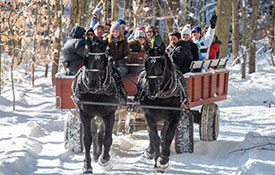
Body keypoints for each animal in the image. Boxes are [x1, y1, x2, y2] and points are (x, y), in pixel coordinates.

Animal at [71, 38, 126, 174]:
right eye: (88, 59)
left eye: (102, 60)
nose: (92, 83)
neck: (96, 93)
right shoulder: (84, 114)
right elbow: (87, 139)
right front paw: (87, 166)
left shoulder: (110, 114)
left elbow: (107, 139)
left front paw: (104, 160)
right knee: (95, 132)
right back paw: (96, 154)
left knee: (101, 133)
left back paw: (99, 155)